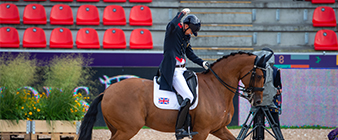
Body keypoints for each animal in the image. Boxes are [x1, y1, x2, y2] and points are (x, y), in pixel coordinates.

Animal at [78, 51, 268, 140]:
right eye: (259, 76)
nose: (258, 101)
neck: (216, 87)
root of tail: (107, 91)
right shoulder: (202, 132)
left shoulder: (218, 129)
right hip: (127, 129)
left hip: (117, 128)